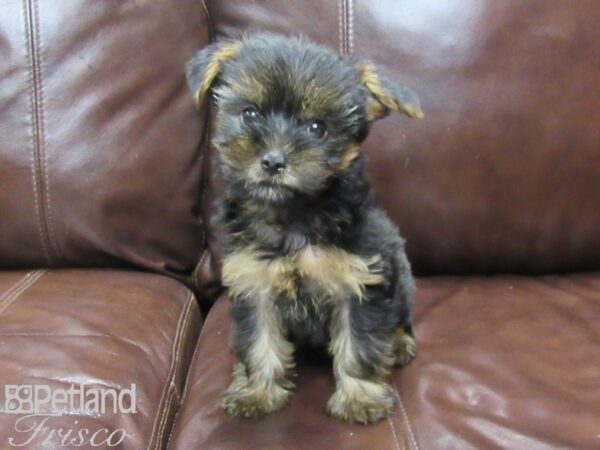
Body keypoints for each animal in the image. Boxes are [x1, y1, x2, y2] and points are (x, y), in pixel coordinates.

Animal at [188, 33, 422, 424]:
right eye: (250, 113)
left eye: (317, 128)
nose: (273, 161)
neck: (293, 214)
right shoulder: (255, 284)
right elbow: (259, 341)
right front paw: (258, 392)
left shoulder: (360, 282)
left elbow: (359, 343)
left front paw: (360, 398)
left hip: (399, 276)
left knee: (400, 317)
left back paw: (400, 342)